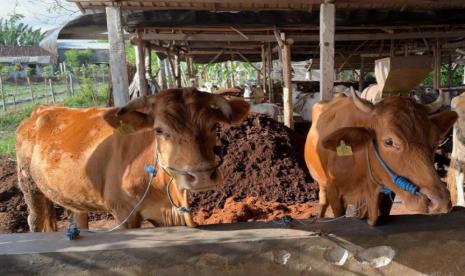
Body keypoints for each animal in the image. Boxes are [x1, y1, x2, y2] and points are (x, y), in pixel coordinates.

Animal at [14, 88, 248, 231]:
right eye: (159, 130)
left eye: (213, 126)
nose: (202, 176)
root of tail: (41, 109)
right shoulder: (123, 211)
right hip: (29, 186)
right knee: (35, 220)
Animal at [304, 89, 456, 225]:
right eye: (389, 141)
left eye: (435, 141)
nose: (440, 201)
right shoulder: (334, 192)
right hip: (322, 184)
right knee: (323, 202)